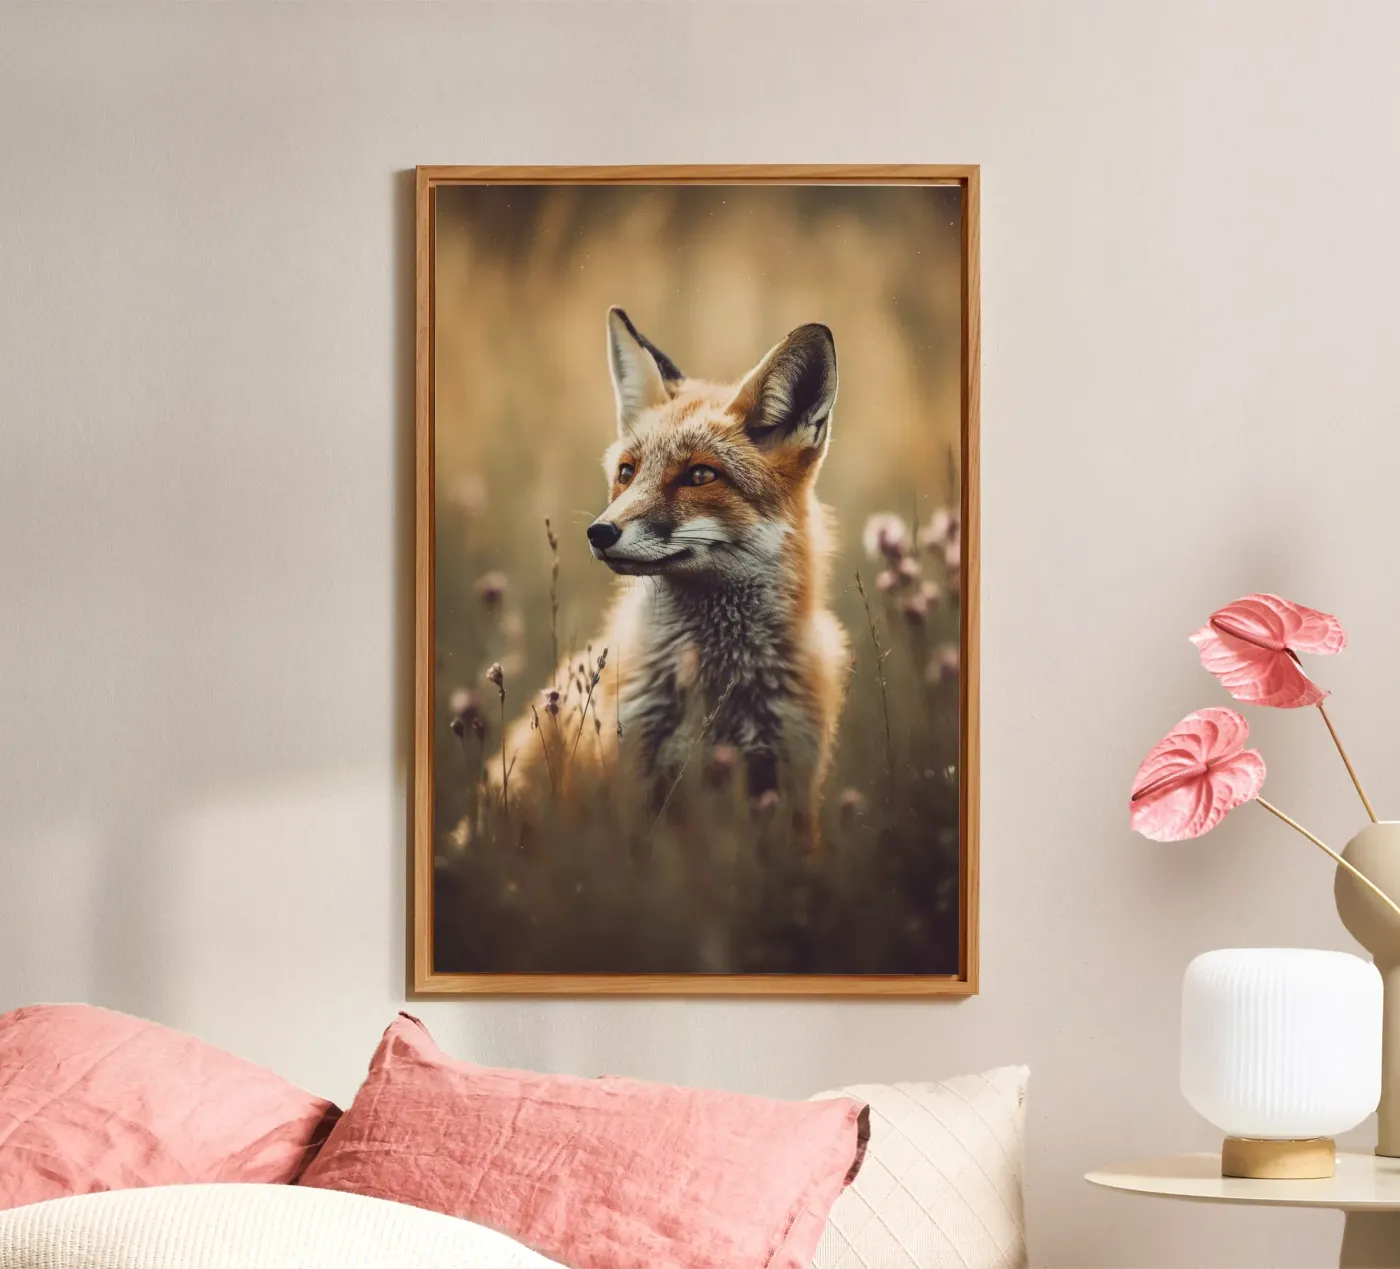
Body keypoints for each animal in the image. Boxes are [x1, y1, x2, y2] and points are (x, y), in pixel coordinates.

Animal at [494, 306, 850, 844]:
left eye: (700, 476)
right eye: (627, 472)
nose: (599, 532)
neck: (717, 687)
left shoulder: (789, 787)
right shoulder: (632, 781)